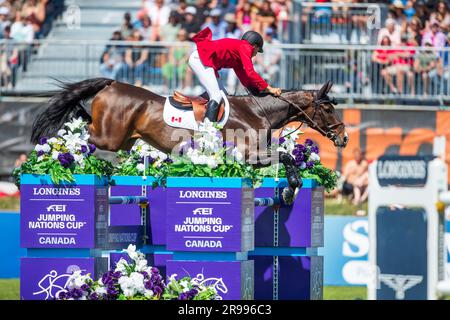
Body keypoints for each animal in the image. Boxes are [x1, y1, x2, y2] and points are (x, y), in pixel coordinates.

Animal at [30, 77, 348, 202]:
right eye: (328, 108)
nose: (344, 138)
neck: (257, 111)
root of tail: (111, 83)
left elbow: (286, 158)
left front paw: (288, 190)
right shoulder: (248, 156)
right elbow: (286, 157)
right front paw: (289, 190)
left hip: (123, 140)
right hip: (109, 136)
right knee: (81, 132)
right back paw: (55, 148)